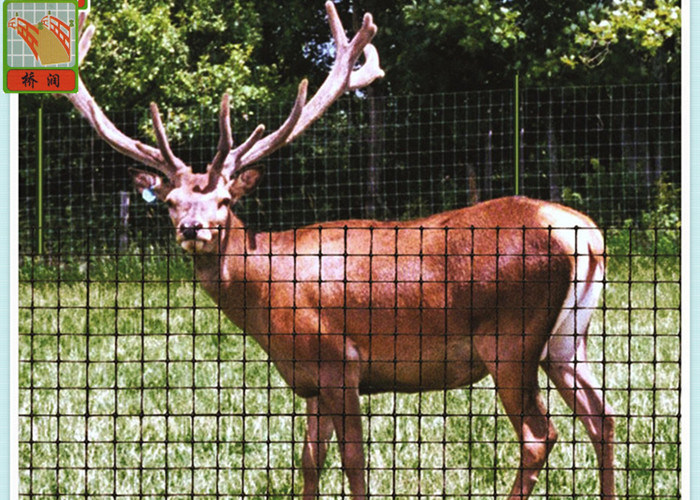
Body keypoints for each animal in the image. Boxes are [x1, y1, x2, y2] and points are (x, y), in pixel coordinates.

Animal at [61, 4, 615, 499]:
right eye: (172, 201)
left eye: (224, 199)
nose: (194, 228)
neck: (268, 296)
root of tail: (581, 233)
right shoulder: (309, 380)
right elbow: (310, 460)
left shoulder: (338, 359)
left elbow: (352, 461)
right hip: (567, 339)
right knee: (603, 417)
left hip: (510, 337)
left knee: (539, 436)